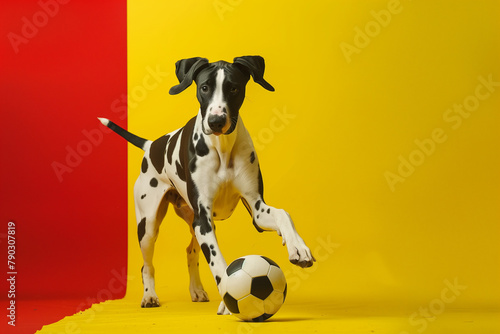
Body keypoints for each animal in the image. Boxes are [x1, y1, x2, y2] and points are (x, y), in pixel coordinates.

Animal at [99, 56, 314, 314]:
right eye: (204, 88)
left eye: (233, 88)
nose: (216, 121)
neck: (222, 148)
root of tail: (151, 145)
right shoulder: (203, 221)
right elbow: (219, 263)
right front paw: (228, 301)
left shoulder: (256, 210)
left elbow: (283, 213)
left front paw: (298, 247)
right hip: (149, 226)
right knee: (146, 265)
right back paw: (150, 296)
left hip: (193, 221)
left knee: (190, 252)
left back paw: (197, 290)